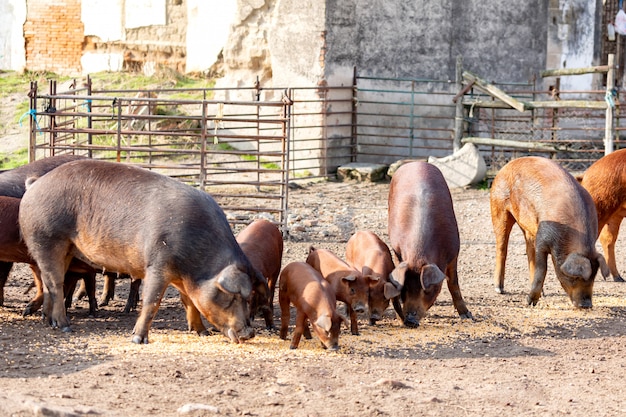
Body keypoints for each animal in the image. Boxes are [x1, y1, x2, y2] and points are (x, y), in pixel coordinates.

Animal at [388, 161, 470, 326]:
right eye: (404, 289)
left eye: (427, 290)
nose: (410, 320)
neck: (418, 255)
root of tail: (415, 162)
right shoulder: (397, 250)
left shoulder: (454, 251)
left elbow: (453, 283)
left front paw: (467, 316)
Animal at [490, 154, 608, 308]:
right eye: (575, 277)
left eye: (593, 277)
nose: (587, 305)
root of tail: (507, 165)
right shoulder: (543, 237)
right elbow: (542, 268)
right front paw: (530, 302)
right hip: (498, 207)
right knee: (502, 247)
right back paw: (499, 289)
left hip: (528, 228)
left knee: (529, 252)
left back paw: (543, 293)